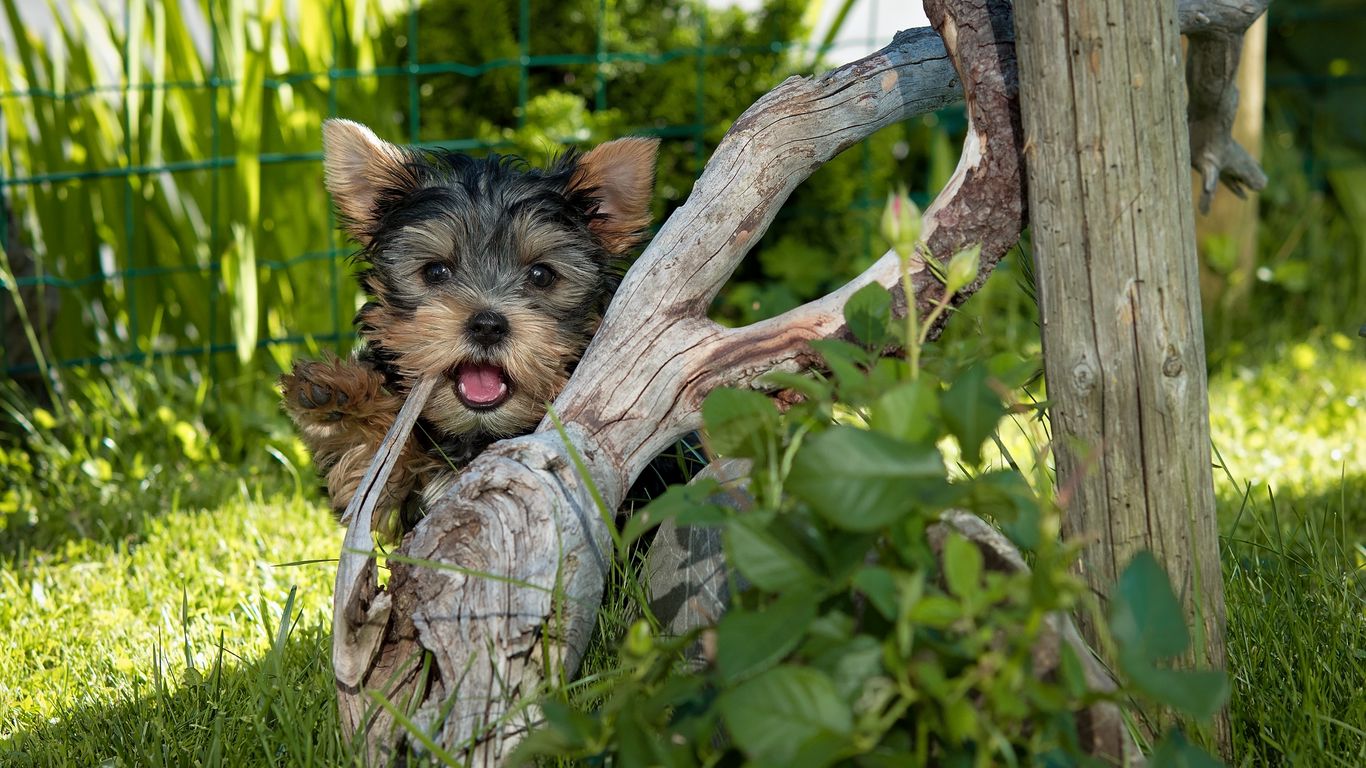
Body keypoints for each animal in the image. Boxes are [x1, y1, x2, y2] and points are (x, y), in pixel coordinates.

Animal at [281, 120, 655, 532]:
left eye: (541, 275)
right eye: (435, 271)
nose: (487, 325)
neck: (477, 433)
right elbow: (369, 475)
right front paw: (341, 398)